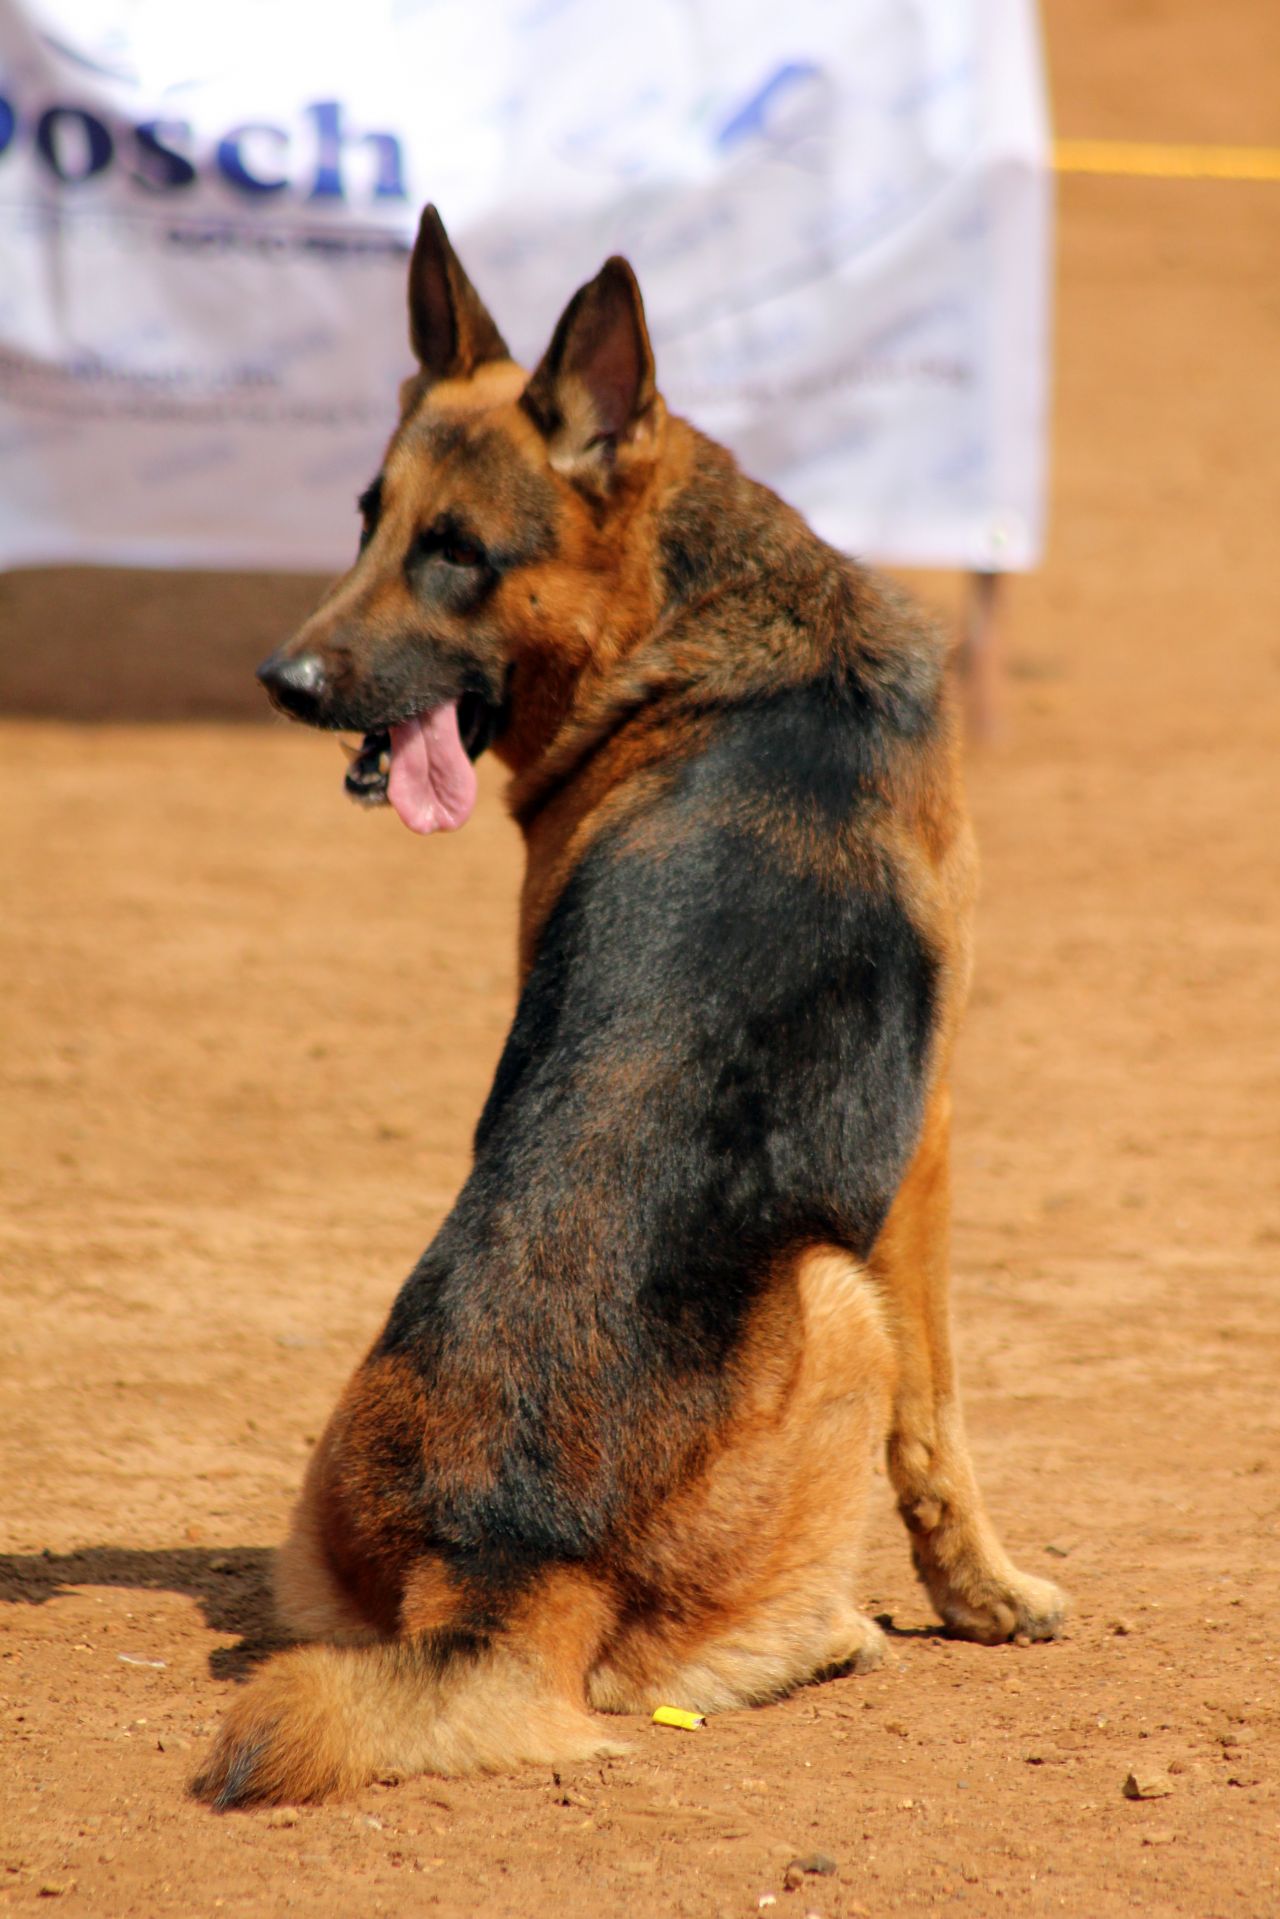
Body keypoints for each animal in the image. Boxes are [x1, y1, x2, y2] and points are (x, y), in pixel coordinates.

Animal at [192, 213, 1059, 1811]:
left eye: (451, 550)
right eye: (370, 525)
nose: (285, 681)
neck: (693, 629)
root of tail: (494, 1560)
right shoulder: (931, 1141)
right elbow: (940, 1427)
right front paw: (987, 1594)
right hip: (836, 1296)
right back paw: (837, 1629)